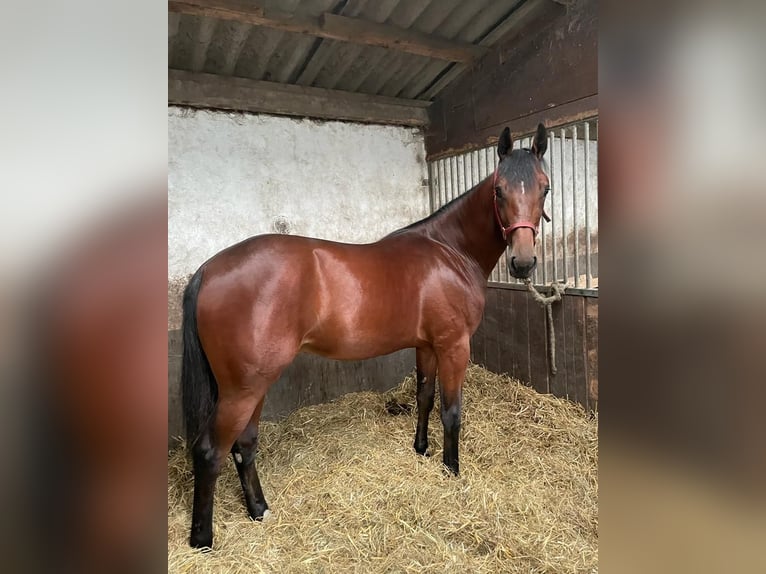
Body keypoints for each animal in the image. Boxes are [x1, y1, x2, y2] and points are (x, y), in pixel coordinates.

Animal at [180, 122, 552, 548]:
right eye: (498, 190)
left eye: (544, 188)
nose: (523, 263)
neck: (449, 251)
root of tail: (208, 269)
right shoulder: (454, 346)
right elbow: (451, 411)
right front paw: (451, 470)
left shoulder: (426, 346)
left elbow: (424, 398)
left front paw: (421, 450)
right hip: (242, 389)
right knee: (211, 452)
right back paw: (202, 539)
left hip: (252, 385)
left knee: (244, 444)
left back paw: (259, 510)